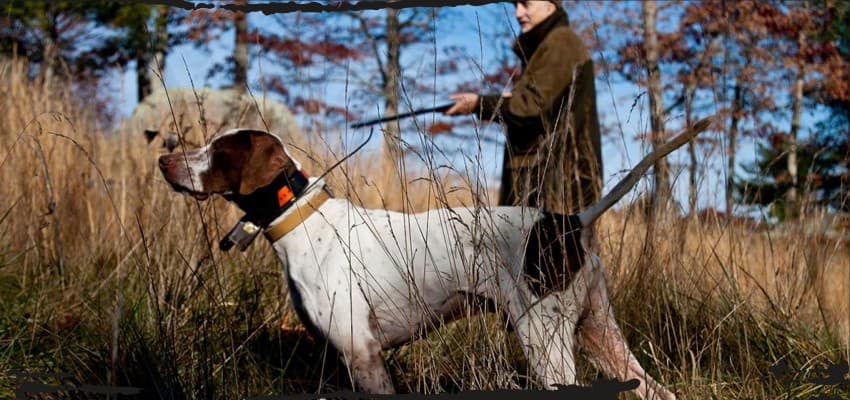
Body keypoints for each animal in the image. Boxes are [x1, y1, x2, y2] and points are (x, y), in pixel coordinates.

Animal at [157, 117, 708, 398]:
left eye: (218, 152)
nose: (163, 158)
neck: (304, 220)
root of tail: (568, 221)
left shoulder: (362, 352)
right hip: (600, 331)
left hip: (546, 339)